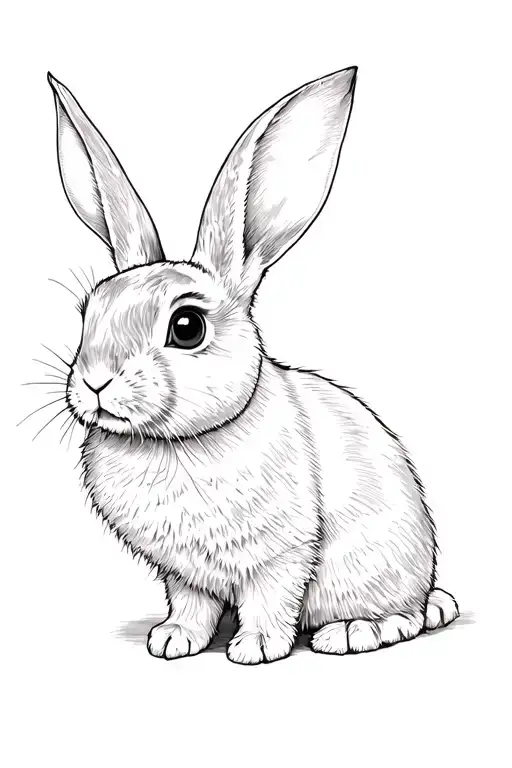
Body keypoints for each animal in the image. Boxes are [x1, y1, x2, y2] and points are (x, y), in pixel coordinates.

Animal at [48, 66, 458, 665]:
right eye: (87, 312)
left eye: (187, 326)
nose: (96, 382)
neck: (177, 442)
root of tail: (430, 586)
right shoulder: (182, 572)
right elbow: (189, 603)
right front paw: (173, 641)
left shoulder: (283, 554)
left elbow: (271, 598)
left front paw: (256, 648)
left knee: (403, 616)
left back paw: (354, 631)